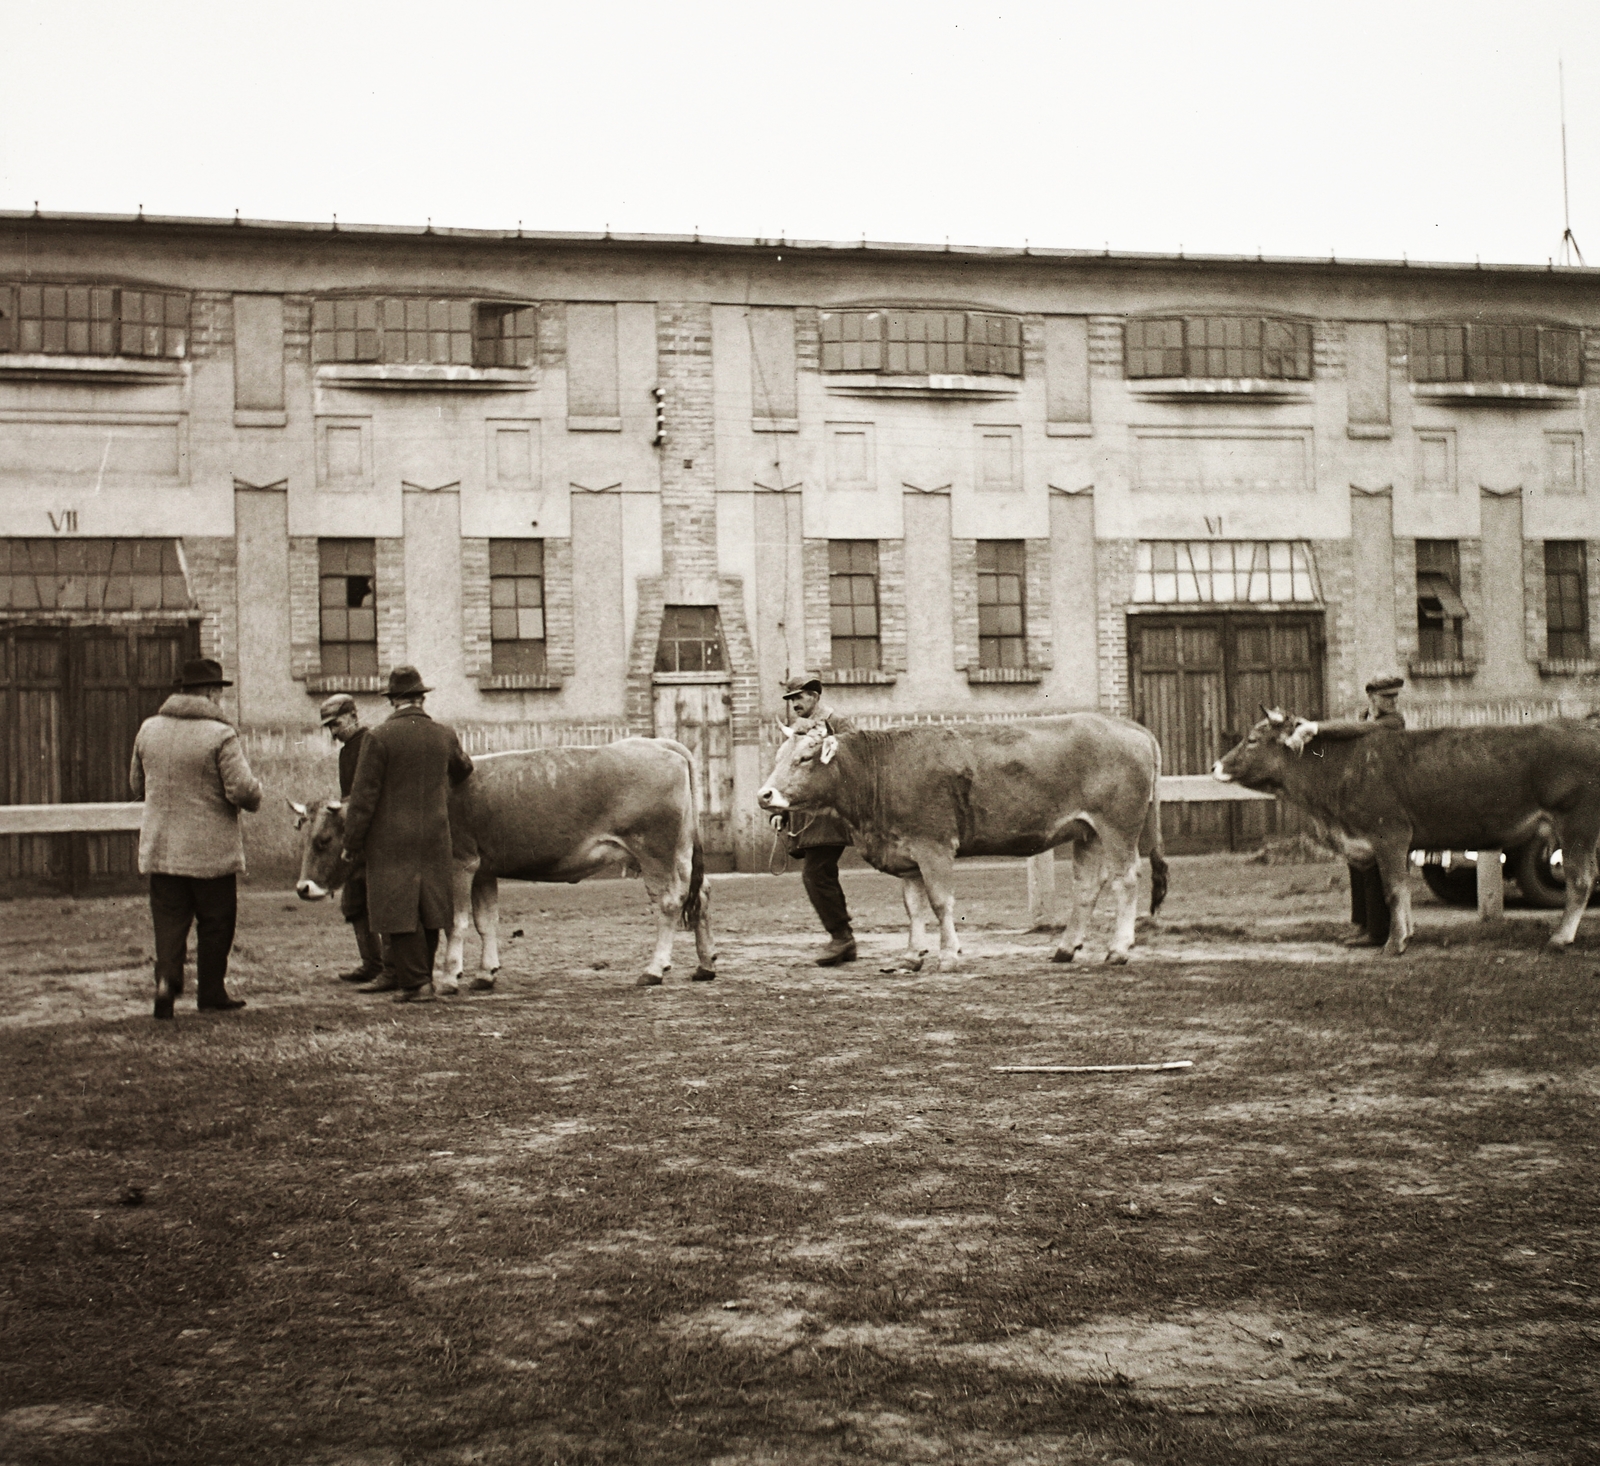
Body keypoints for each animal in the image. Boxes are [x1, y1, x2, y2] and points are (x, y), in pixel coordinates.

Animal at [291, 739, 716, 992]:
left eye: (323, 840)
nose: (303, 888)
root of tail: (656, 743)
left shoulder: (460, 865)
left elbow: (455, 921)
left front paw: (450, 975)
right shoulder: (483, 869)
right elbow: (486, 921)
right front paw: (485, 972)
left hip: (655, 851)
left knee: (669, 903)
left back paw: (655, 968)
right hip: (680, 853)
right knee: (700, 896)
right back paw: (705, 964)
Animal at [755, 713, 1171, 966]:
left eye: (805, 758)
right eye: (778, 757)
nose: (765, 795)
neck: (881, 769)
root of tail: (1129, 725)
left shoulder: (933, 845)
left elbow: (940, 902)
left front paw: (949, 954)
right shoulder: (906, 851)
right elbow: (913, 906)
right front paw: (912, 955)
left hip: (1118, 825)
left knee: (1126, 880)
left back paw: (1118, 949)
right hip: (1088, 831)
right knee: (1086, 888)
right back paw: (1065, 949)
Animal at [1209, 713, 1600, 960]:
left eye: (1252, 740)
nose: (1215, 766)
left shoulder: (1389, 834)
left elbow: (1394, 890)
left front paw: (1394, 943)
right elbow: (1402, 891)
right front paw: (1406, 934)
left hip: (1576, 823)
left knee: (1580, 880)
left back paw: (1559, 938)